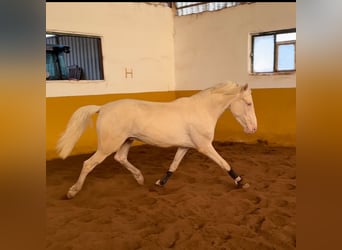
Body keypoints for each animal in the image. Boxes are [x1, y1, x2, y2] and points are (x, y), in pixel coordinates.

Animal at [56, 81, 256, 198]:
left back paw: (139, 178)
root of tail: (103, 107)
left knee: (120, 158)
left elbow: (173, 166)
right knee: (88, 164)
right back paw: (72, 191)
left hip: (127, 140)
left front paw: (160, 183)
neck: (202, 110)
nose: (253, 129)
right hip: (108, 145)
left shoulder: (185, 146)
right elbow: (224, 163)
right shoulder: (204, 146)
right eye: (248, 103)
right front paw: (242, 183)